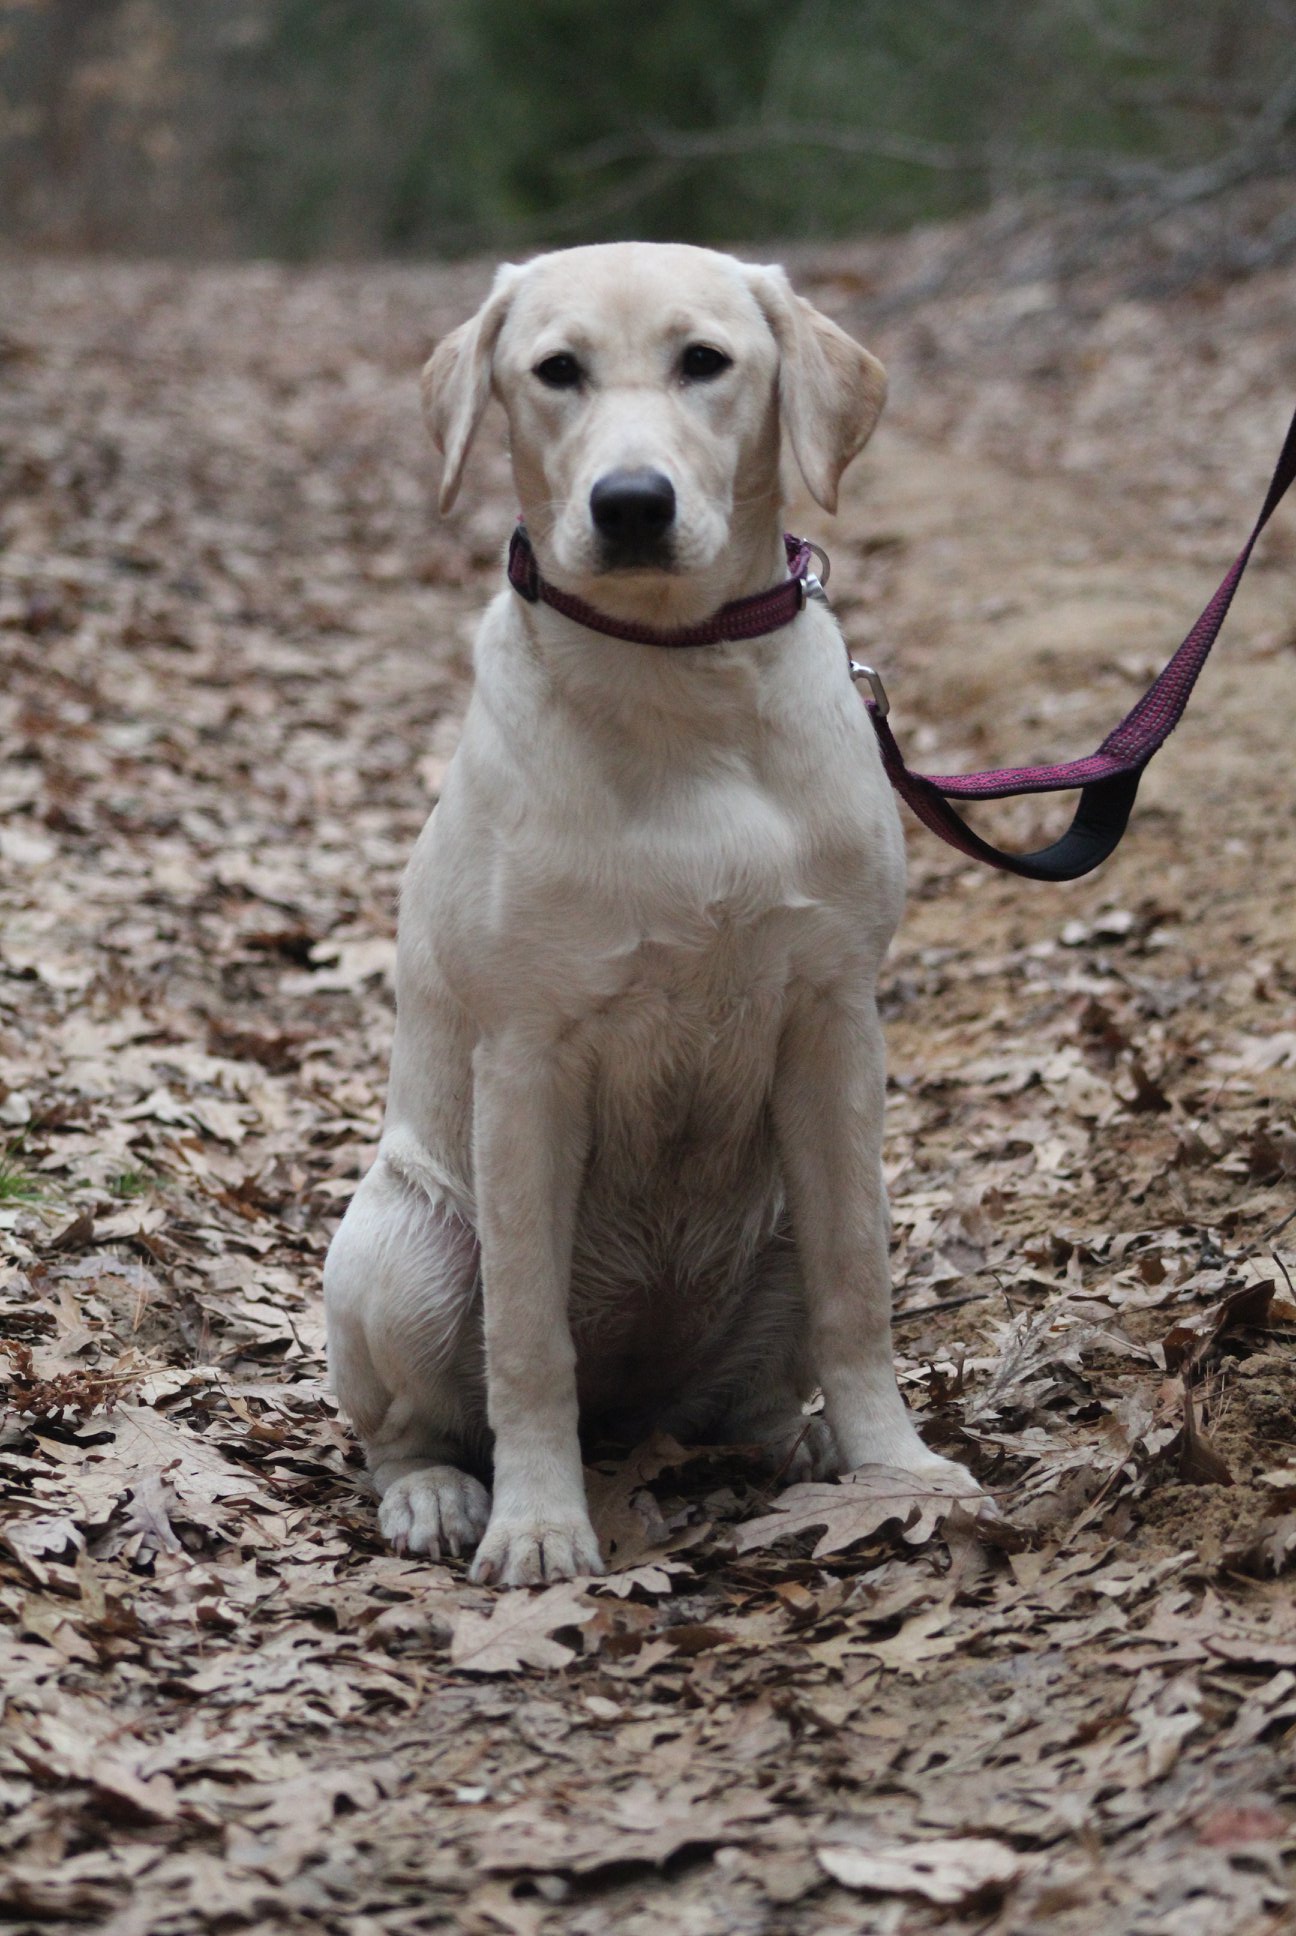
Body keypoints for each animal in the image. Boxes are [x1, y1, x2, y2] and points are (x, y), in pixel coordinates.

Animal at [325, 242, 980, 1579]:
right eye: (556, 371)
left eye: (705, 361)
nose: (632, 503)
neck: (683, 680)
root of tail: (644, 1407)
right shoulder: (528, 1056)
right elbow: (528, 1338)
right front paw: (537, 1520)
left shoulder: (835, 1019)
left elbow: (859, 1287)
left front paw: (895, 1463)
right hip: (408, 1244)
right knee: (412, 1423)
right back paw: (437, 1495)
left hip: (777, 1224)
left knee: (758, 1383)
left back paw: (804, 1443)